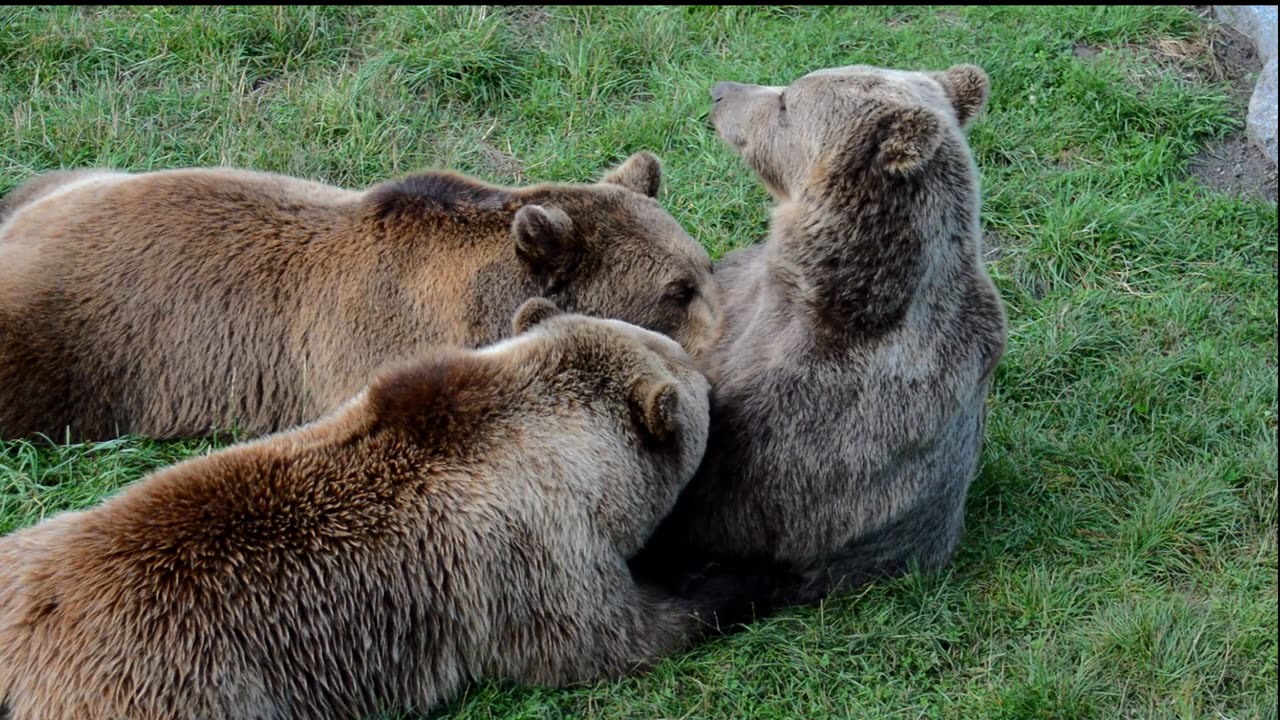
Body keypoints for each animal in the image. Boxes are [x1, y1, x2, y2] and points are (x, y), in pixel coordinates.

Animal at [0, 299, 757, 717]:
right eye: (698, 382)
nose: (709, 373)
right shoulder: (528, 559)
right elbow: (610, 638)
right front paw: (727, 581)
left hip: (29, 547)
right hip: (176, 685)